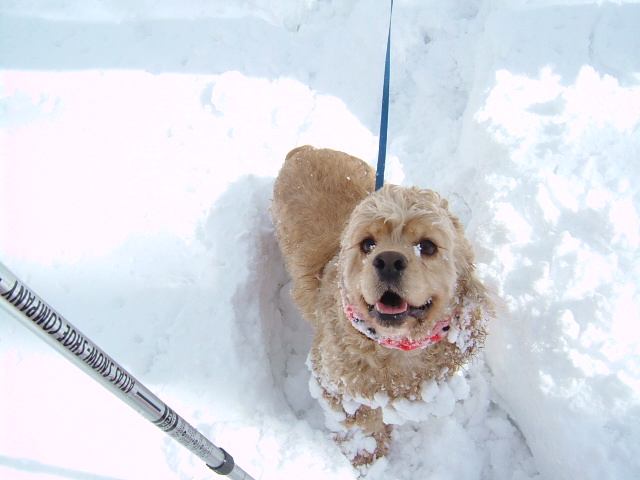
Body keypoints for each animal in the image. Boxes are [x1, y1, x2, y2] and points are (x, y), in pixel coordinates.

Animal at [272, 145, 496, 464]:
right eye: (367, 244)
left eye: (428, 246)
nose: (388, 260)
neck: (395, 346)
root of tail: (306, 149)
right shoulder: (336, 384)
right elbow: (362, 424)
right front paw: (365, 458)